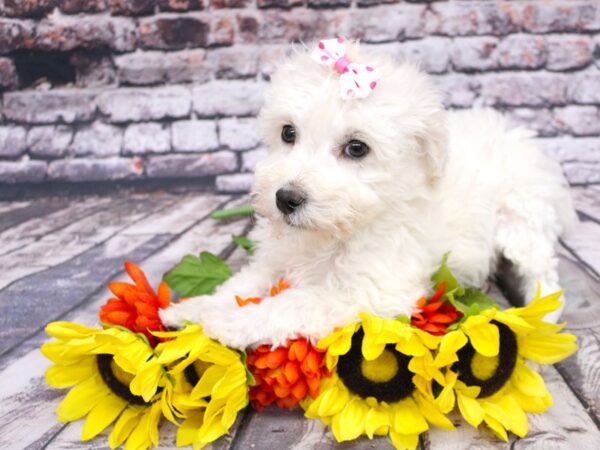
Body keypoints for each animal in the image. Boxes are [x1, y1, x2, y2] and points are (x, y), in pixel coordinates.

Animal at [161, 40, 576, 350]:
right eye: (288, 133)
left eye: (357, 148)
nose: (285, 199)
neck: (330, 232)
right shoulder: (274, 260)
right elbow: (240, 285)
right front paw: (191, 309)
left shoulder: (367, 289)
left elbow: (294, 301)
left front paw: (232, 321)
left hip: (523, 223)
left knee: (544, 273)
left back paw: (543, 314)